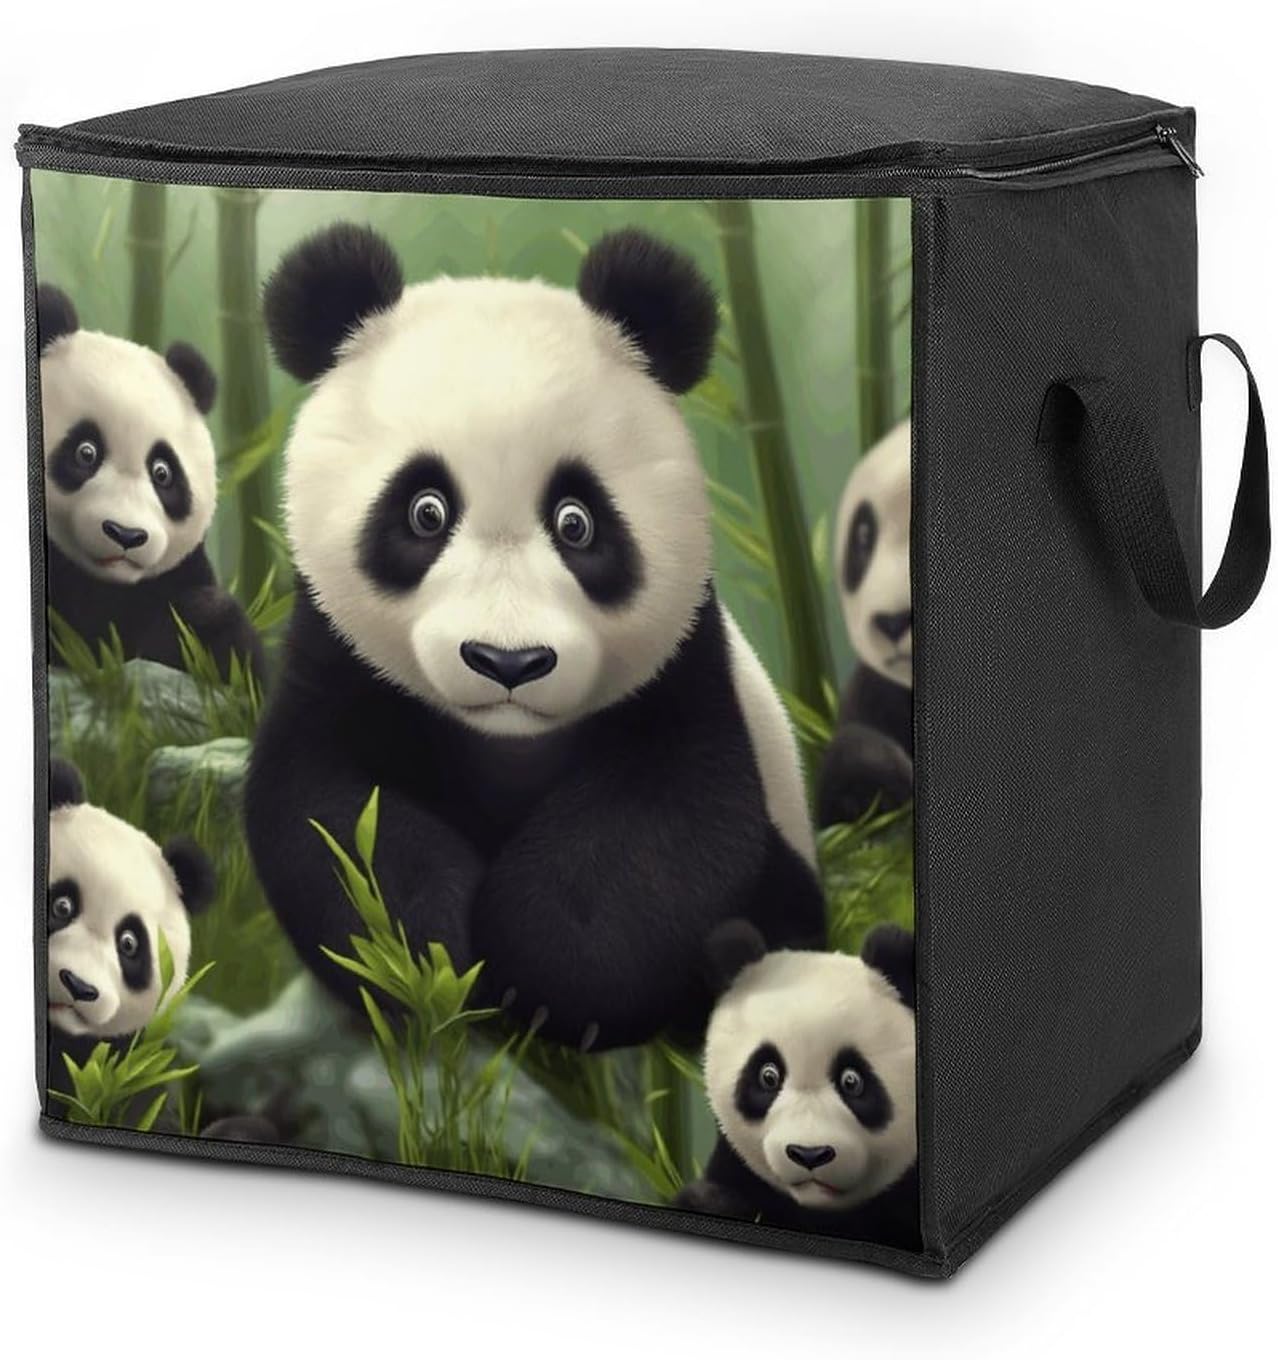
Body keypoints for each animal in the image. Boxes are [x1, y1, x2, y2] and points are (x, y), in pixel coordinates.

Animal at [244, 223, 827, 1052]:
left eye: (576, 521)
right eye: (425, 511)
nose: (508, 661)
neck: (510, 744)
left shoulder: (687, 673)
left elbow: (670, 824)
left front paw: (539, 971)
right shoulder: (334, 655)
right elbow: (328, 811)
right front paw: (426, 958)